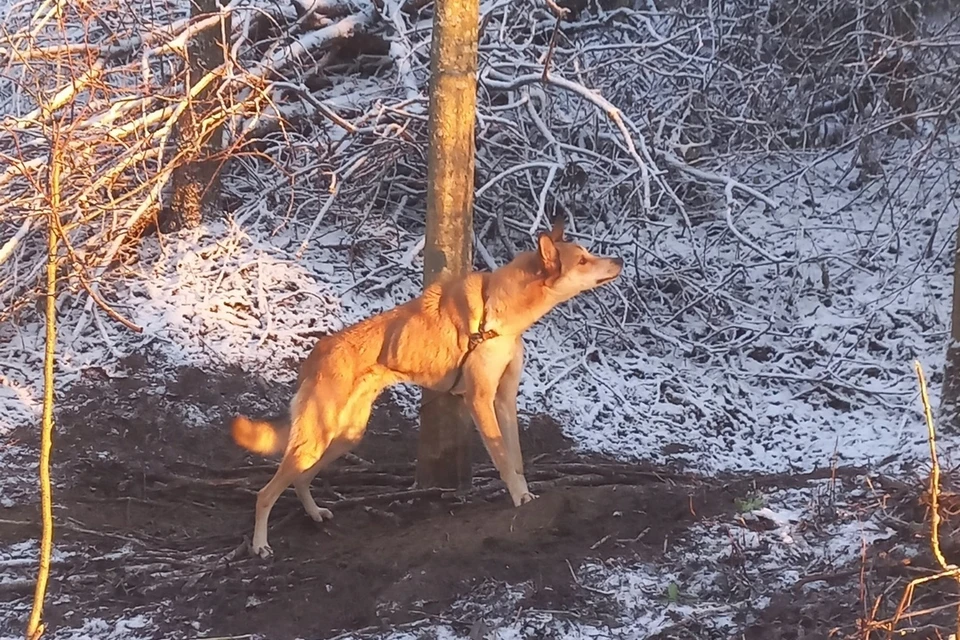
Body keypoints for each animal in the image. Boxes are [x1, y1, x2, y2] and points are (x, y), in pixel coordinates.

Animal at [231, 218, 624, 556]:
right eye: (583, 260)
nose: (619, 260)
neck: (498, 314)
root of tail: (316, 352)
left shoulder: (505, 400)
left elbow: (516, 459)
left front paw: (527, 497)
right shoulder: (480, 400)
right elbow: (502, 458)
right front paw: (519, 499)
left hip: (344, 437)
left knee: (299, 480)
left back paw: (314, 514)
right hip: (318, 438)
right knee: (265, 493)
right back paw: (260, 545)